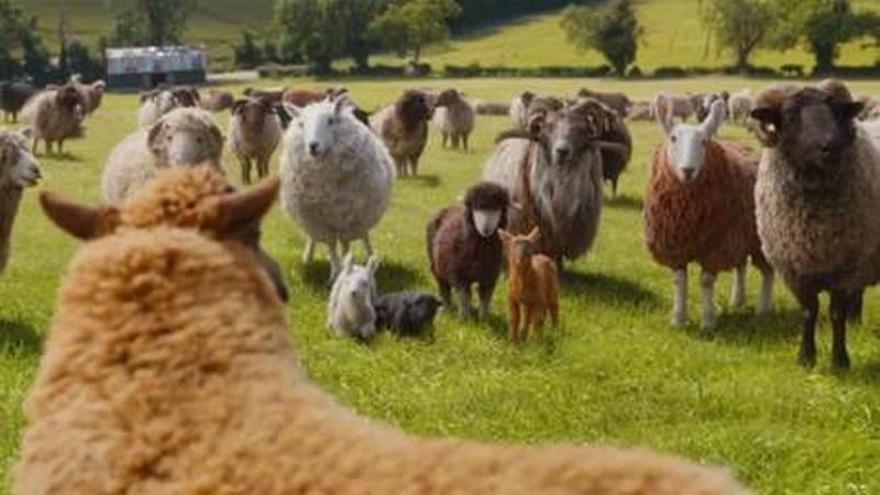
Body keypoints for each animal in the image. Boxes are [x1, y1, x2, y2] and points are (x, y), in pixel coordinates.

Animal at [279, 95, 395, 278]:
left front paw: (345, 267)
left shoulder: (349, 218)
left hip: (363, 215)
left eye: (330, 121)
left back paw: (371, 256)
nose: (313, 146)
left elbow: (346, 246)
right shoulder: (320, 222)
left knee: (364, 235)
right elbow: (332, 247)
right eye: (302, 123)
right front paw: (334, 272)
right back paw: (308, 258)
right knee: (313, 238)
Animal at [427, 182, 509, 318]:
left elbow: (485, 297)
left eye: (496, 207)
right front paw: (465, 318)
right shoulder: (459, 273)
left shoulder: (490, 276)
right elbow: (464, 296)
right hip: (436, 265)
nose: (486, 228)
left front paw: (483, 318)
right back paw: (447, 308)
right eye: (477, 208)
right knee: (443, 287)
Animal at [645, 95, 773, 329]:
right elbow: (679, 281)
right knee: (741, 266)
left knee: (768, 271)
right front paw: (678, 319)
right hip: (740, 235)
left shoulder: (715, 245)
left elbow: (705, 282)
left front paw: (708, 321)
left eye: (704, 141)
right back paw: (737, 301)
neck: (686, 213)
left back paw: (763, 309)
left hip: (760, 237)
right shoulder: (675, 245)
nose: (687, 170)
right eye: (673, 138)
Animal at [751, 83, 880, 370]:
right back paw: (856, 322)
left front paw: (840, 361)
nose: (830, 147)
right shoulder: (795, 270)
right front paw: (805, 357)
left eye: (837, 112)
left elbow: (835, 313)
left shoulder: (847, 268)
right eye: (789, 116)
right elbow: (809, 312)